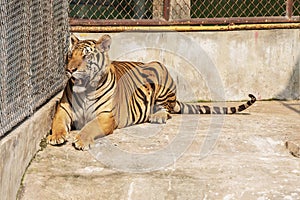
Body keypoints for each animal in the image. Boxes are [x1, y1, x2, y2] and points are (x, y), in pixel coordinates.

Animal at [46, 34, 255, 150]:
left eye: (86, 56)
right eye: (70, 55)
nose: (70, 70)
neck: (85, 90)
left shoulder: (106, 115)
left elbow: (90, 127)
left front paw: (81, 140)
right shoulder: (63, 110)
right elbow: (57, 122)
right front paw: (56, 137)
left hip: (159, 69)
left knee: (168, 110)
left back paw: (157, 116)